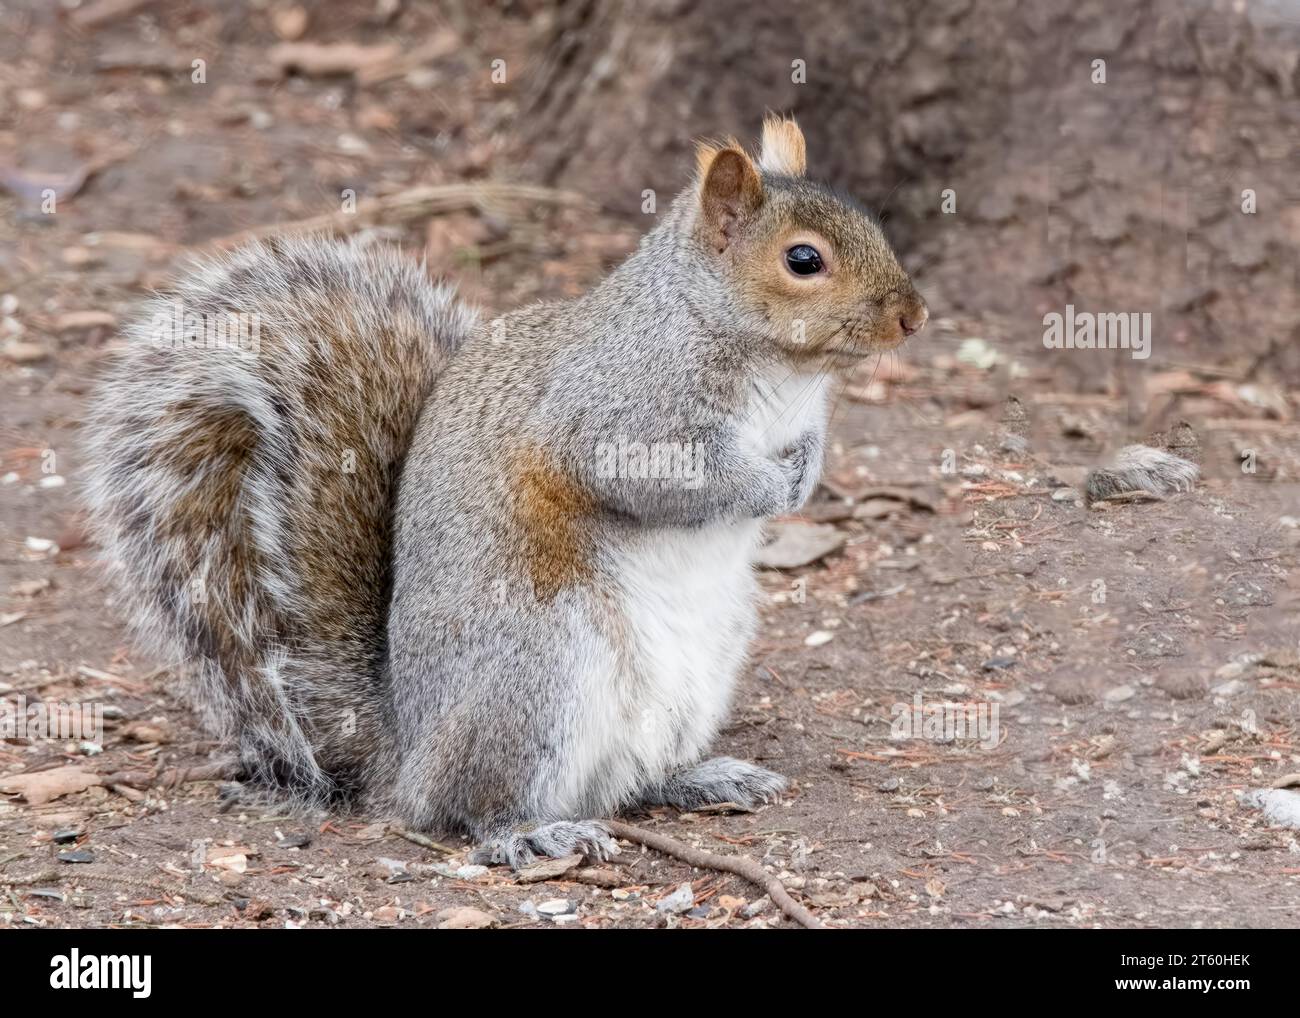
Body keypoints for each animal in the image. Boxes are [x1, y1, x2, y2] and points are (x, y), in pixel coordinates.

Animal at [85, 116, 928, 866]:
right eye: (804, 260)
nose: (914, 316)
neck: (783, 371)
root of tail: (407, 752)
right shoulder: (618, 415)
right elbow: (657, 477)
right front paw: (763, 483)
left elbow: (806, 448)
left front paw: (802, 474)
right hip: (539, 666)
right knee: (475, 805)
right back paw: (529, 832)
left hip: (702, 669)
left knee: (625, 781)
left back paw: (700, 777)